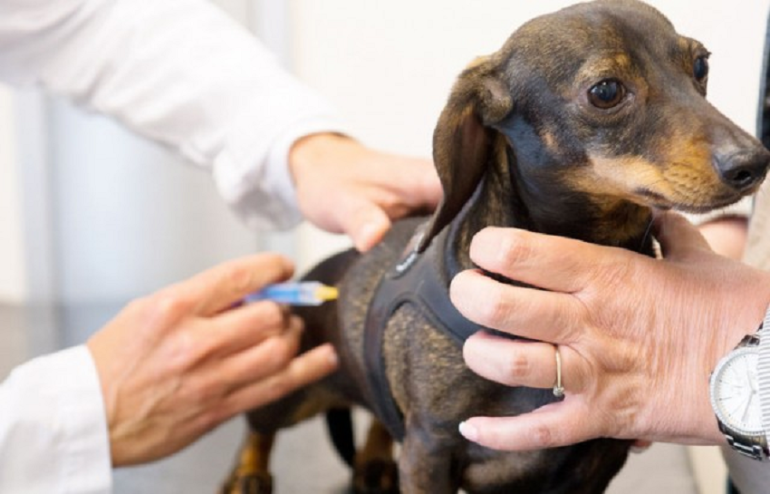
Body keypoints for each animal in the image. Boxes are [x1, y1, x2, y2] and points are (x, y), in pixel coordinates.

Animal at [220, 1, 768, 492]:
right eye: (606, 90)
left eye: (701, 65)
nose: (754, 162)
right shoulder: (429, 450)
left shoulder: (597, 458)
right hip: (290, 391)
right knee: (259, 428)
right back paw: (246, 473)